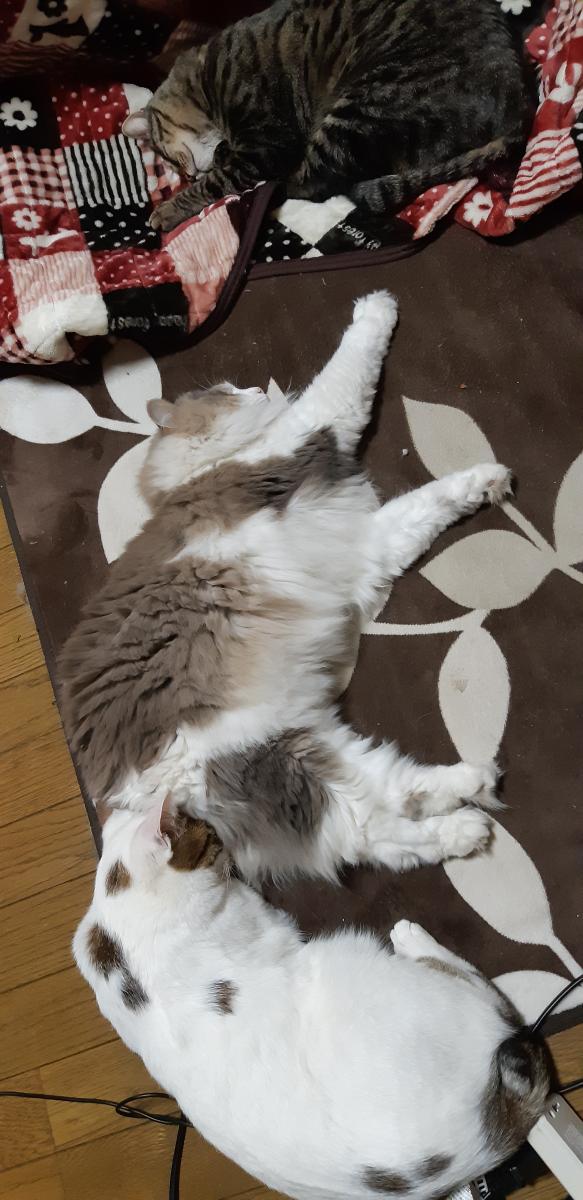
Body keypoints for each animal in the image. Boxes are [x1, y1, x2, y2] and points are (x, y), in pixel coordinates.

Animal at [60, 291, 512, 883]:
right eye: (226, 391)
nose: (256, 389)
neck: (198, 472)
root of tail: (132, 800)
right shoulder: (318, 430)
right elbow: (350, 367)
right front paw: (376, 307)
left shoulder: (368, 543)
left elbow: (427, 505)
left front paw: (486, 483)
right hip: (273, 756)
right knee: (375, 814)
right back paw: (473, 805)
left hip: (297, 748)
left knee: (374, 828)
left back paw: (469, 808)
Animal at [73, 799, 551, 1200]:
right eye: (207, 837)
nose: (224, 843)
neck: (120, 926)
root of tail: (484, 1143)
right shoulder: (263, 918)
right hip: (392, 974)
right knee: (489, 994)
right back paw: (410, 937)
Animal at [122, 0, 530, 232]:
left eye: (168, 159)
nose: (188, 174)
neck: (203, 74)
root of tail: (520, 98)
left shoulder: (266, 143)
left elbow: (215, 184)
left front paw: (168, 210)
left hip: (363, 105)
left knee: (307, 181)